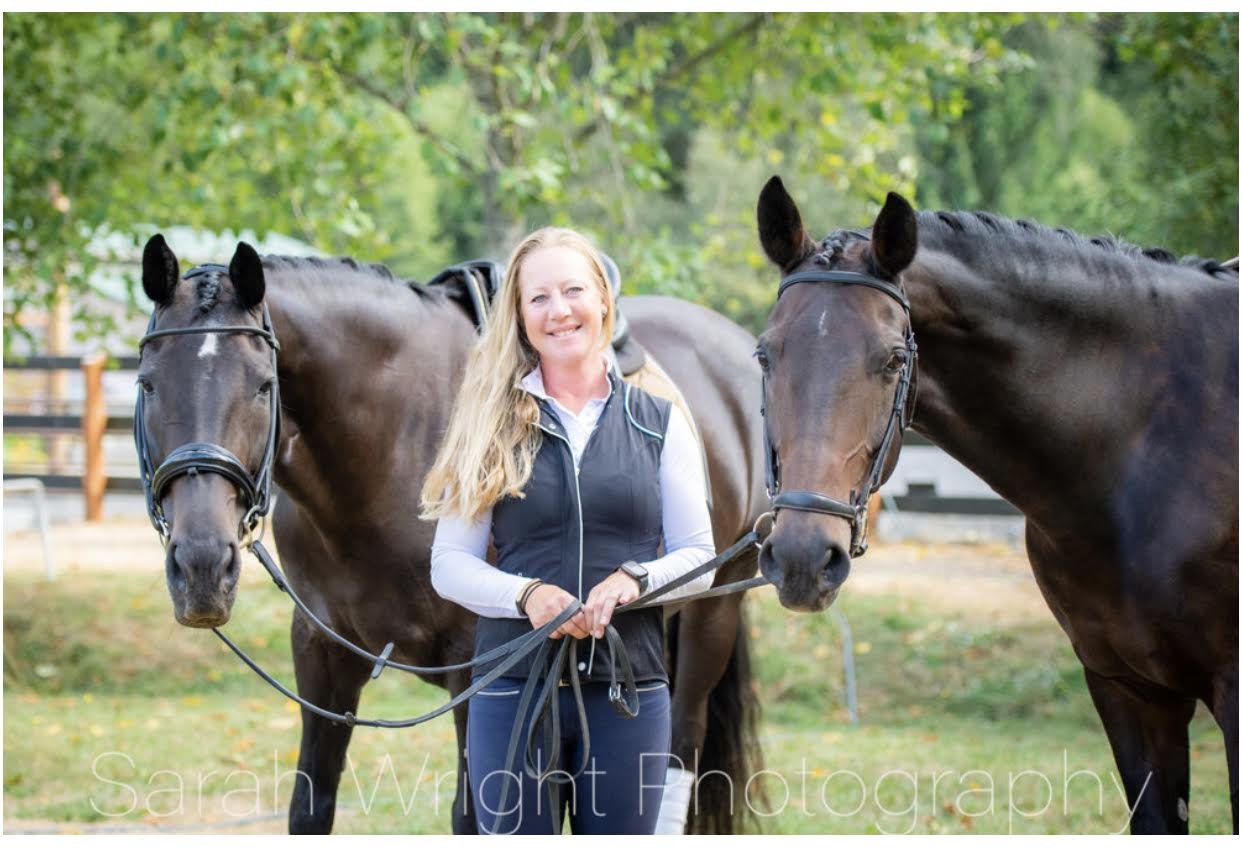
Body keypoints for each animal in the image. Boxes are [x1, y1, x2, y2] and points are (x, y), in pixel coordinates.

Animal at [134, 236, 767, 834]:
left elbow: (473, 816)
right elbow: (310, 809)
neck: (389, 444)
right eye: (146, 385)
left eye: (265, 386)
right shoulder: (320, 651)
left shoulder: (478, 664)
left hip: (713, 612)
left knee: (679, 750)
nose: (200, 567)